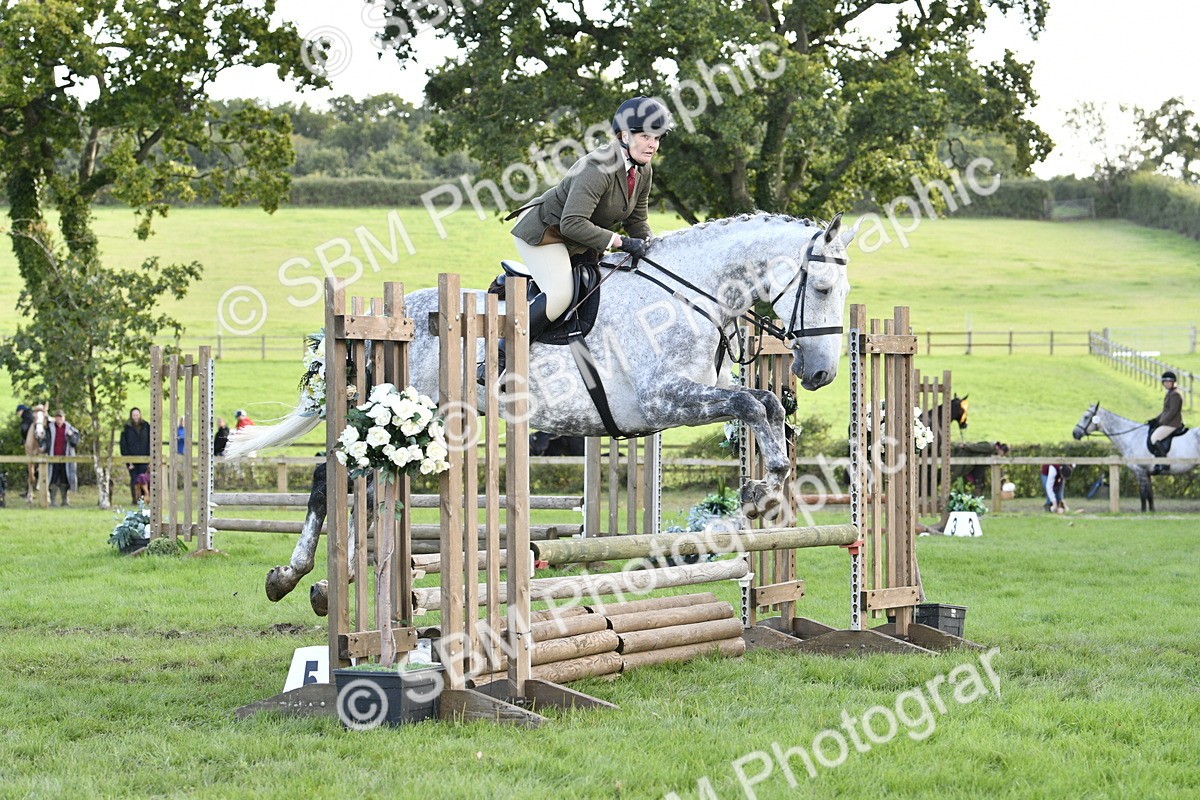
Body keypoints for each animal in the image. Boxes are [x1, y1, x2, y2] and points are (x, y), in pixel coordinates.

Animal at [227, 212, 854, 606]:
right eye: (823, 288)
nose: (820, 374)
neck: (687, 298)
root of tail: (380, 322)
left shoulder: (695, 394)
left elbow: (766, 405)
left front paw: (759, 491)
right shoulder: (662, 401)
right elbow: (752, 402)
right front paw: (756, 492)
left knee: (355, 487)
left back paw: (337, 581)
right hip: (403, 417)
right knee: (331, 478)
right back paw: (291, 577)